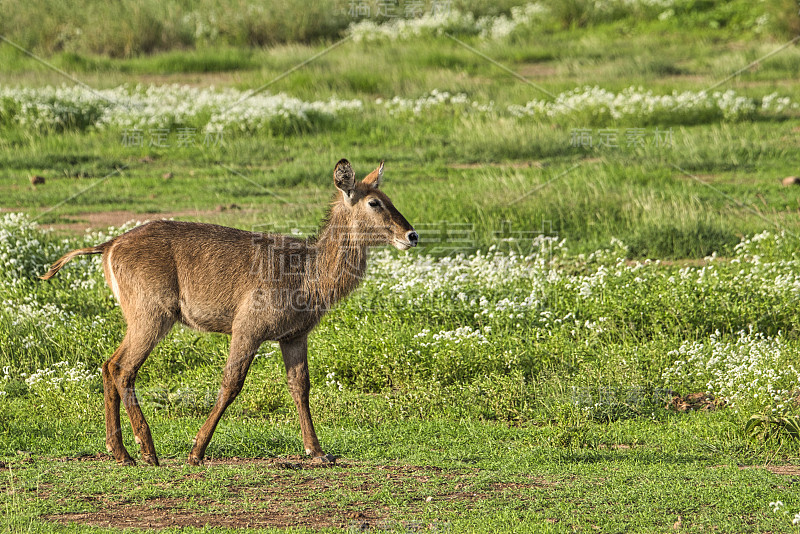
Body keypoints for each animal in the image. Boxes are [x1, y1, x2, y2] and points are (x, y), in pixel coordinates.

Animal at [41, 160, 418, 468]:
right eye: (374, 202)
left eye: (387, 197)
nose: (411, 235)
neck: (307, 271)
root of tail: (109, 245)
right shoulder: (247, 329)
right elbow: (231, 384)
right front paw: (196, 451)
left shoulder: (294, 336)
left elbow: (300, 387)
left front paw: (318, 451)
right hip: (152, 317)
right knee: (122, 368)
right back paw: (146, 451)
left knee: (108, 366)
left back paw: (120, 452)